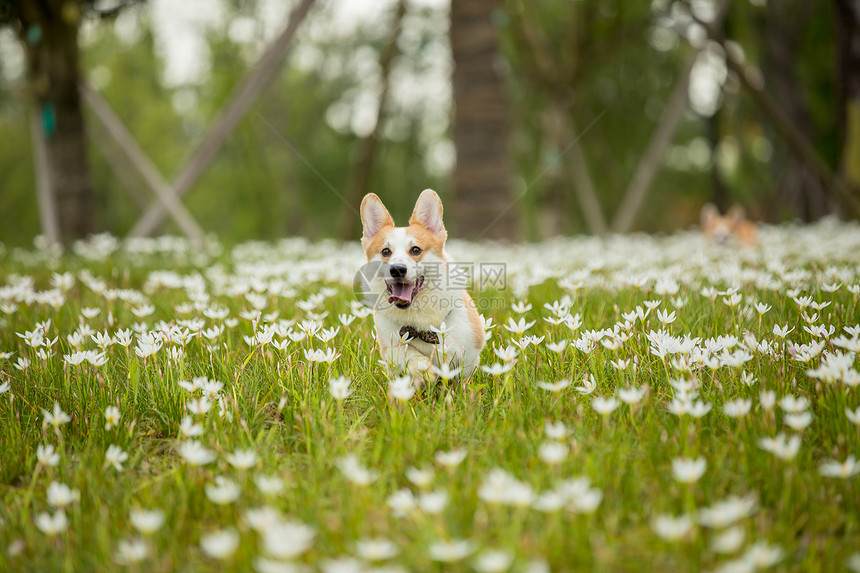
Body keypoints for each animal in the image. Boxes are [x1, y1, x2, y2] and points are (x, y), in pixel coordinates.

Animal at [360, 191, 488, 384]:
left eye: (415, 250)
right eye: (385, 252)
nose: (397, 269)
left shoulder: (471, 351)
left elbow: (464, 376)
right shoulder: (389, 346)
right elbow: (408, 353)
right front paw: (424, 369)